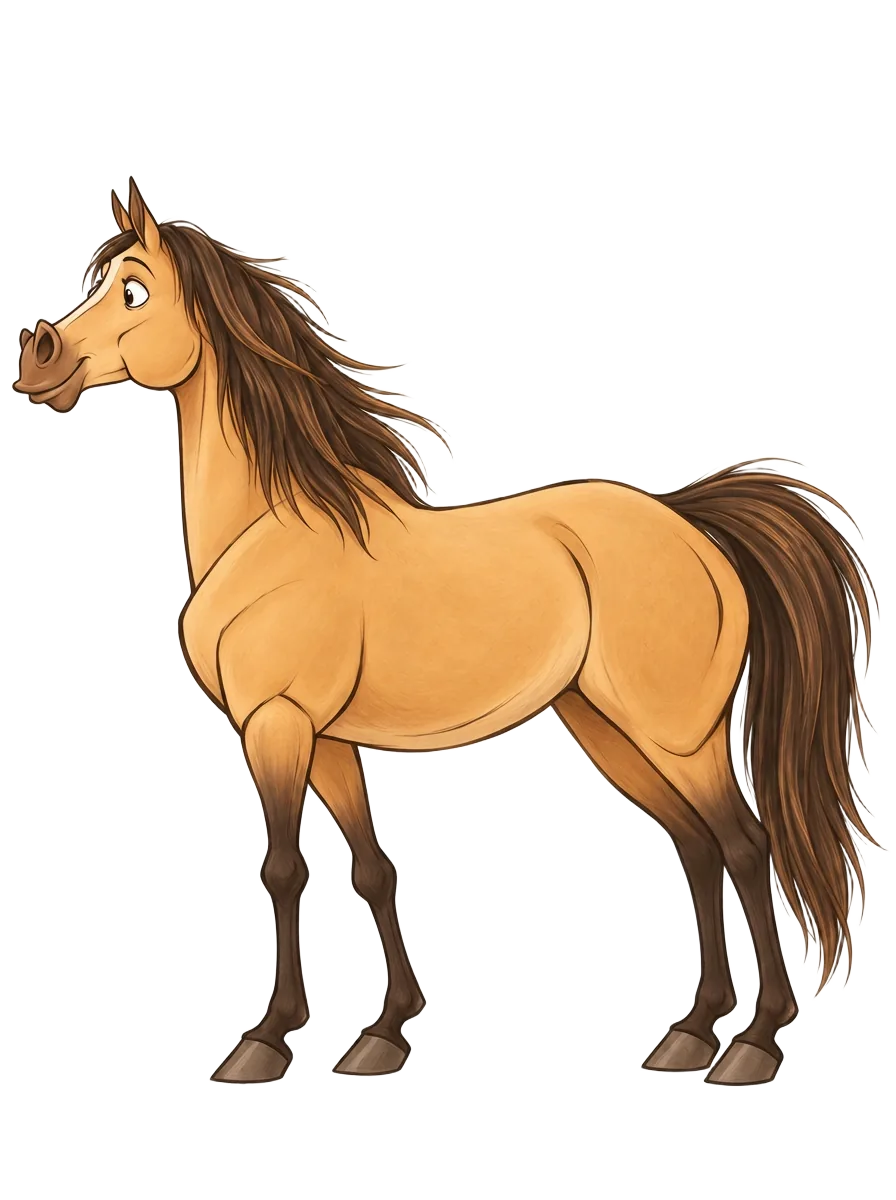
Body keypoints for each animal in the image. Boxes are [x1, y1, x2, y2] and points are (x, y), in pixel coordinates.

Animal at [13, 179, 876, 1087]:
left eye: (133, 290)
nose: (37, 361)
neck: (270, 531)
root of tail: (687, 520)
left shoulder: (273, 726)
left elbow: (284, 871)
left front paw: (266, 1039)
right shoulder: (328, 740)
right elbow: (372, 869)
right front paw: (385, 1031)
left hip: (679, 733)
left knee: (744, 846)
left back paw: (753, 1043)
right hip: (608, 729)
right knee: (695, 849)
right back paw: (689, 1032)